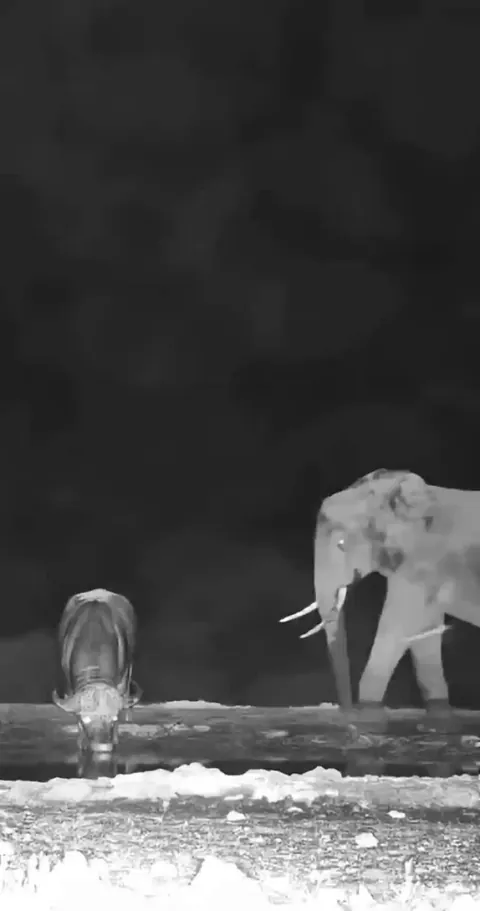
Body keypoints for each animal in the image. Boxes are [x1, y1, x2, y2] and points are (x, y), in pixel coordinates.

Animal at [280, 469, 480, 713]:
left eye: (341, 544)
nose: (347, 711)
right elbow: (424, 631)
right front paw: (438, 709)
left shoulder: (423, 561)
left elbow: (396, 627)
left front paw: (368, 710)